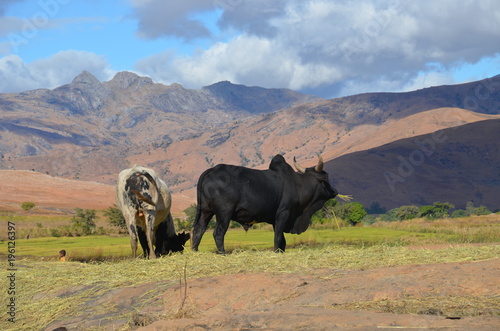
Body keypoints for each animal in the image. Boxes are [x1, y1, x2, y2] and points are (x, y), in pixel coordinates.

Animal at [190, 154, 336, 253]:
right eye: (326, 177)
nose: (335, 191)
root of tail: (211, 171)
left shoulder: (275, 219)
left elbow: (282, 239)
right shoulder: (284, 213)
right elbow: (278, 237)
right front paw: (276, 252)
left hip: (206, 211)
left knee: (198, 230)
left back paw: (195, 251)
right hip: (224, 214)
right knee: (218, 233)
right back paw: (223, 253)